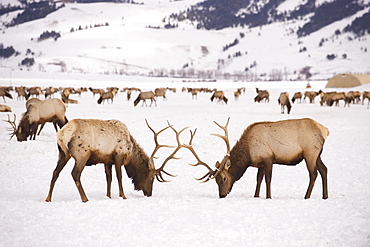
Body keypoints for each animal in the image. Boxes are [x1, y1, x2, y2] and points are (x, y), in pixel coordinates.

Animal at [45, 118, 184, 202]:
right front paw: (123, 196)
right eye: (151, 178)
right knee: (75, 174)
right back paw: (85, 198)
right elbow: (119, 176)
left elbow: (109, 177)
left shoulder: (107, 160)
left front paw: (108, 196)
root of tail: (62, 133)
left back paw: (48, 198)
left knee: (55, 172)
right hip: (81, 155)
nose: (149, 193)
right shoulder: (118, 155)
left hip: (63, 153)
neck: (130, 152)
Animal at [183, 117, 330, 199]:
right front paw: (256, 195)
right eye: (215, 180)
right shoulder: (260, 163)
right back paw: (325, 196)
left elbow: (267, 179)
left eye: (224, 178)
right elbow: (258, 179)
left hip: (310, 153)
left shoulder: (268, 157)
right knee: (324, 170)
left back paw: (306, 196)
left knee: (313, 174)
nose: (222, 195)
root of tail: (325, 130)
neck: (248, 154)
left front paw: (268, 197)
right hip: (317, 154)